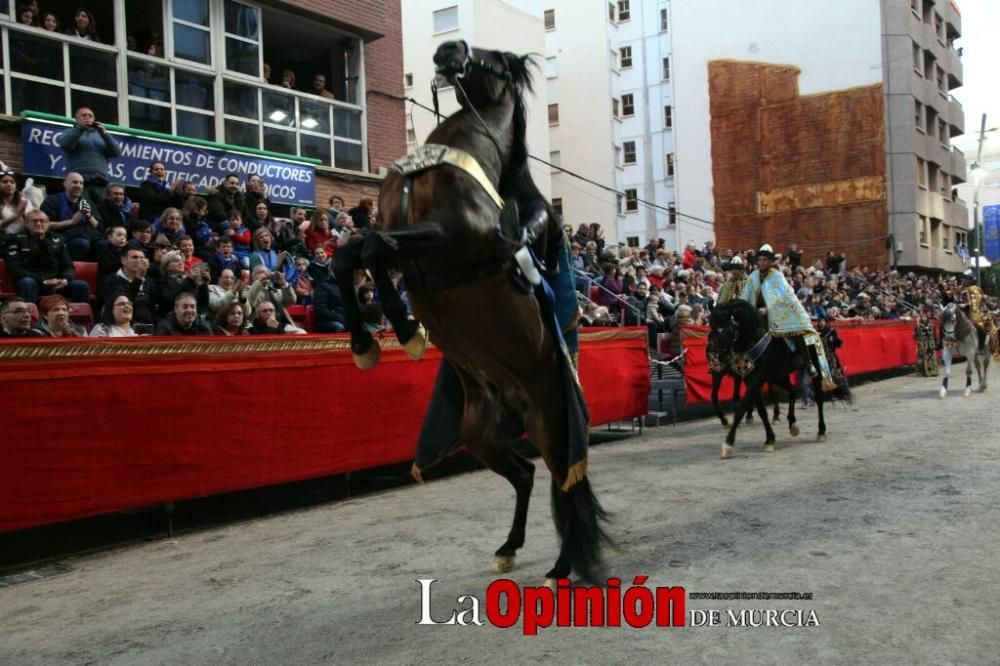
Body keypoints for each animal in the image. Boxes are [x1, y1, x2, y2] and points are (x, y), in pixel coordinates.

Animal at [332, 40, 604, 580]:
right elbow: (350, 254)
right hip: (479, 433)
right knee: (526, 474)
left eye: (495, 59)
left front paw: (404, 329)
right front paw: (366, 341)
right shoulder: (401, 240)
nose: (449, 49)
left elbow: (370, 247)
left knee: (562, 483)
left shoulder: (448, 240)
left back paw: (561, 568)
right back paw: (509, 547)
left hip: (549, 422)